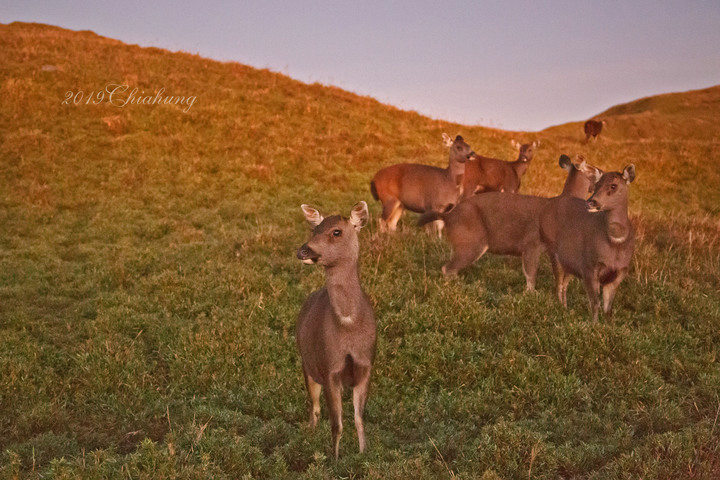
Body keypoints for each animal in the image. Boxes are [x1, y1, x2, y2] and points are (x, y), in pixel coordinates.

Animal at [296, 201, 380, 460]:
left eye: (336, 232)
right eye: (314, 230)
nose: (303, 251)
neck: (349, 327)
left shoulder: (365, 365)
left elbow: (359, 419)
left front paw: (364, 455)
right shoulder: (329, 367)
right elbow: (337, 424)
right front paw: (334, 459)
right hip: (307, 364)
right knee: (314, 408)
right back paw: (310, 438)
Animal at [416, 154, 600, 290]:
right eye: (593, 171)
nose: (602, 171)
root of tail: (448, 216)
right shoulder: (531, 243)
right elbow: (530, 276)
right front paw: (531, 295)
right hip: (472, 241)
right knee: (448, 268)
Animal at [540, 165, 636, 322]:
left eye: (613, 185)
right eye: (596, 185)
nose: (591, 202)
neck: (615, 243)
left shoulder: (621, 270)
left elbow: (608, 308)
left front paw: (608, 325)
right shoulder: (589, 265)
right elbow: (595, 302)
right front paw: (594, 324)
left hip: (570, 262)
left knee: (564, 284)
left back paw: (566, 309)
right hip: (552, 249)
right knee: (558, 285)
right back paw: (560, 309)